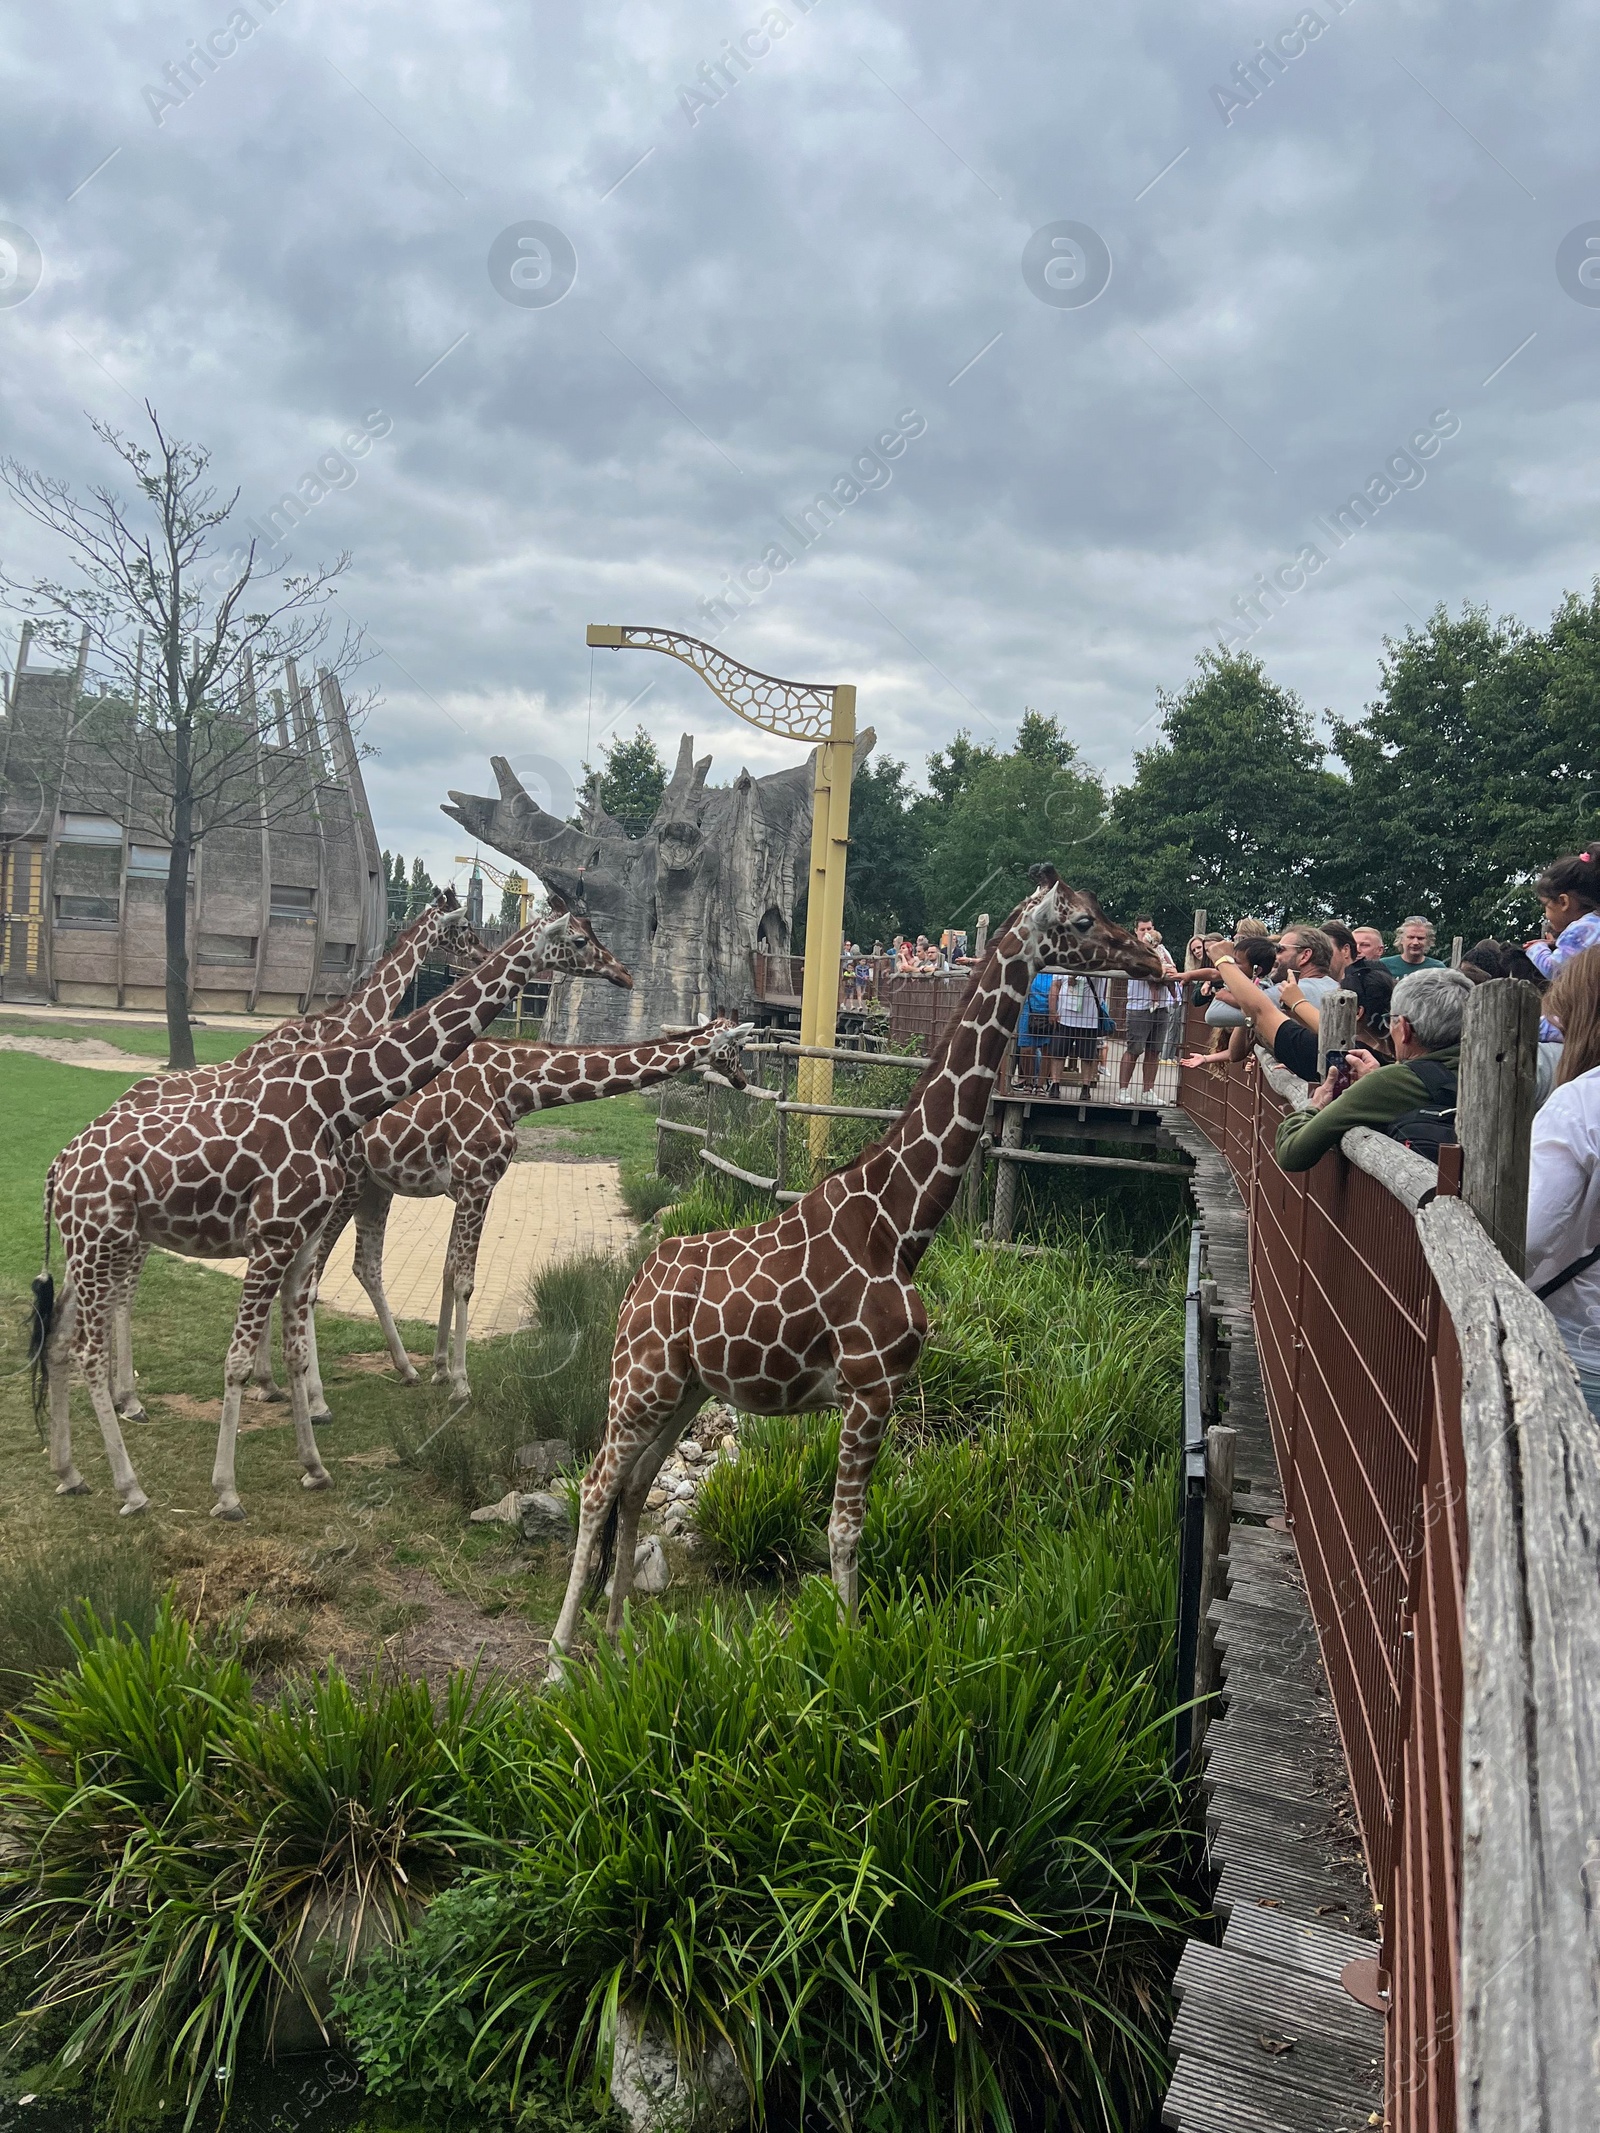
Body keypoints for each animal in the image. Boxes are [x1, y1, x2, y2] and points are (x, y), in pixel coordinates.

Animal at [36, 908, 631, 1527]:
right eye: (580, 939)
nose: (624, 974)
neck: (331, 1098)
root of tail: (58, 1167)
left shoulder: (297, 1234)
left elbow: (299, 1337)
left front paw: (313, 1458)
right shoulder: (280, 1232)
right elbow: (239, 1358)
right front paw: (229, 1490)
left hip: (99, 1245)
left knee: (61, 1336)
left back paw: (72, 1470)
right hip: (107, 1241)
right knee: (90, 1342)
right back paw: (130, 1476)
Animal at [315, 1015, 763, 1399]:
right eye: (737, 1047)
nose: (742, 1081)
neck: (515, 1090)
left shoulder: (462, 1188)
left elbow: (447, 1271)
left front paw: (440, 1369)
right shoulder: (477, 1181)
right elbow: (464, 1281)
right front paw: (461, 1382)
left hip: (374, 1186)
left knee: (365, 1266)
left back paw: (404, 1368)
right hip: (347, 1182)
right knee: (312, 1272)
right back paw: (307, 1396)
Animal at [550, 870, 1169, 1663]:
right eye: (1086, 920)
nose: (1151, 961)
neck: (900, 1223)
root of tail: (635, 1286)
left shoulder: (875, 1391)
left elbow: (847, 1529)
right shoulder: (871, 1389)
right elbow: (843, 1532)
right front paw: (846, 1657)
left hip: (685, 1389)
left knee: (631, 1487)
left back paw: (619, 1636)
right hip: (639, 1381)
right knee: (596, 1485)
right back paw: (559, 1653)